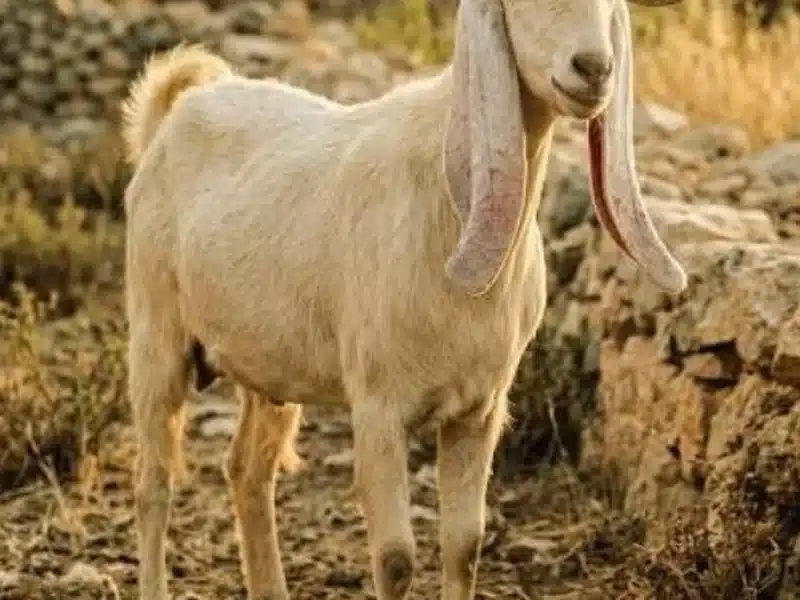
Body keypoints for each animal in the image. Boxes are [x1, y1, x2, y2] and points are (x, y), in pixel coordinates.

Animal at [121, 0, 684, 598]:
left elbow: (465, 546)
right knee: (153, 485)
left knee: (247, 470)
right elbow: (395, 559)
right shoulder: (378, 408)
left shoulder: (479, 409)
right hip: (156, 337)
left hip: (269, 365)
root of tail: (178, 109)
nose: (594, 68)